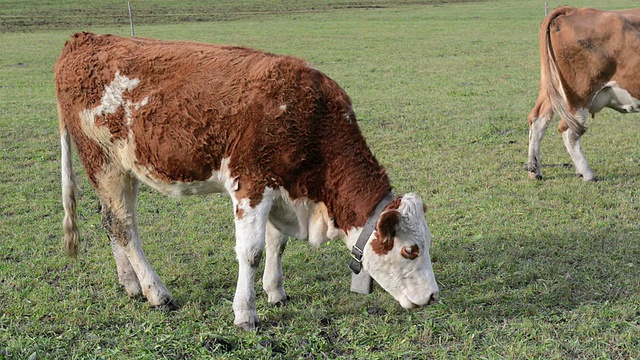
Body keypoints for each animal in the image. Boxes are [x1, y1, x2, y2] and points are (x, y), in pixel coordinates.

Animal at [55, 32, 440, 330]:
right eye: (411, 250)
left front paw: (275, 291)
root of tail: (83, 39)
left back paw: (130, 284)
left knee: (110, 220)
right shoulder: (252, 185)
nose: (433, 296)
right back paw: (156, 292)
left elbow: (276, 243)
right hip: (104, 162)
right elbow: (251, 252)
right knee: (124, 226)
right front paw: (245, 313)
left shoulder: (280, 189)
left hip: (122, 169)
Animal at [524, 7, 640, 183]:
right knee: (569, 132)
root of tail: (573, 10)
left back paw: (534, 170)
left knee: (538, 120)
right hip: (579, 94)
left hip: (551, 89)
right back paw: (587, 174)